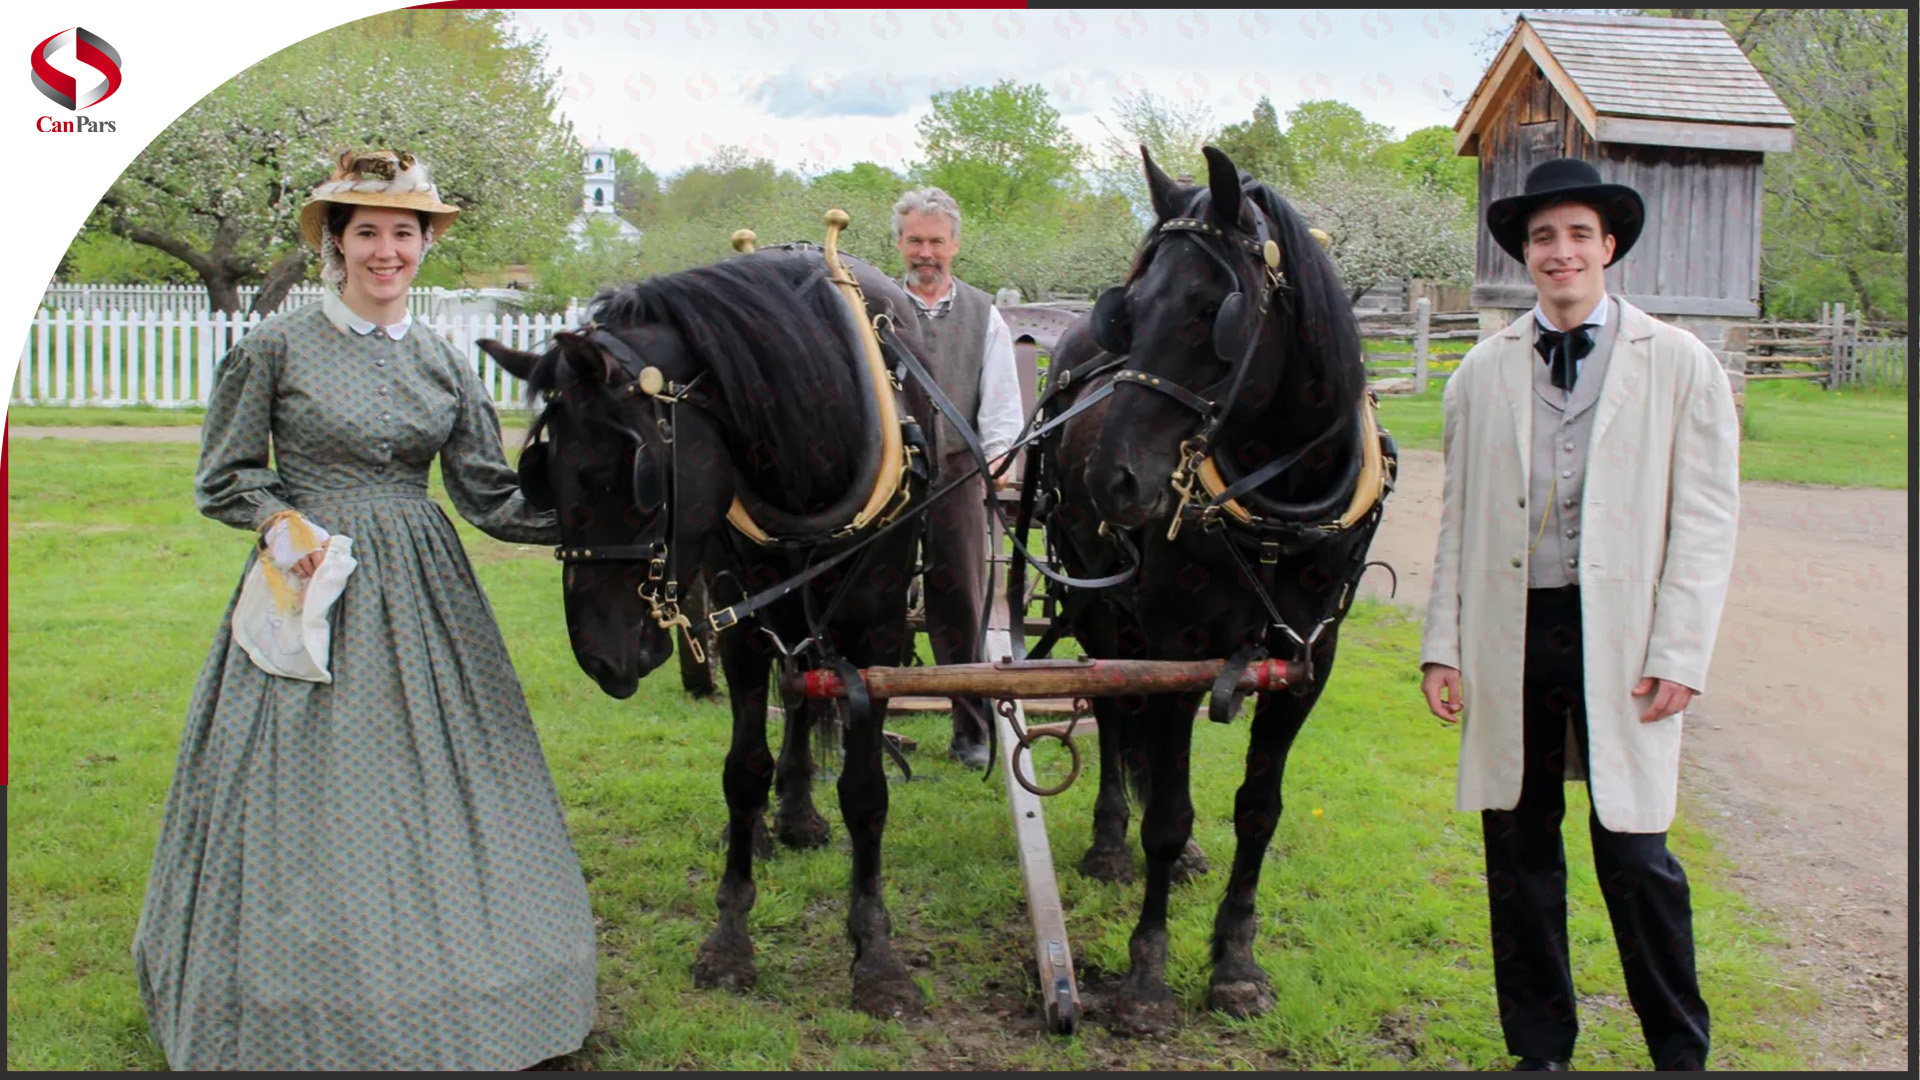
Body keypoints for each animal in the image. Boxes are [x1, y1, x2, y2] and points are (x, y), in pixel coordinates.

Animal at [1036, 147, 1397, 1030]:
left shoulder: (1307, 662)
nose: (1112, 478)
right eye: (1128, 309)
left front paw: (1235, 962)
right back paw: (1108, 840)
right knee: (1111, 712)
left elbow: (1257, 811)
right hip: (1097, 606)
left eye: (1214, 310)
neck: (1276, 505)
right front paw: (1148, 974)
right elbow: (1166, 815)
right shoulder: (1173, 646)